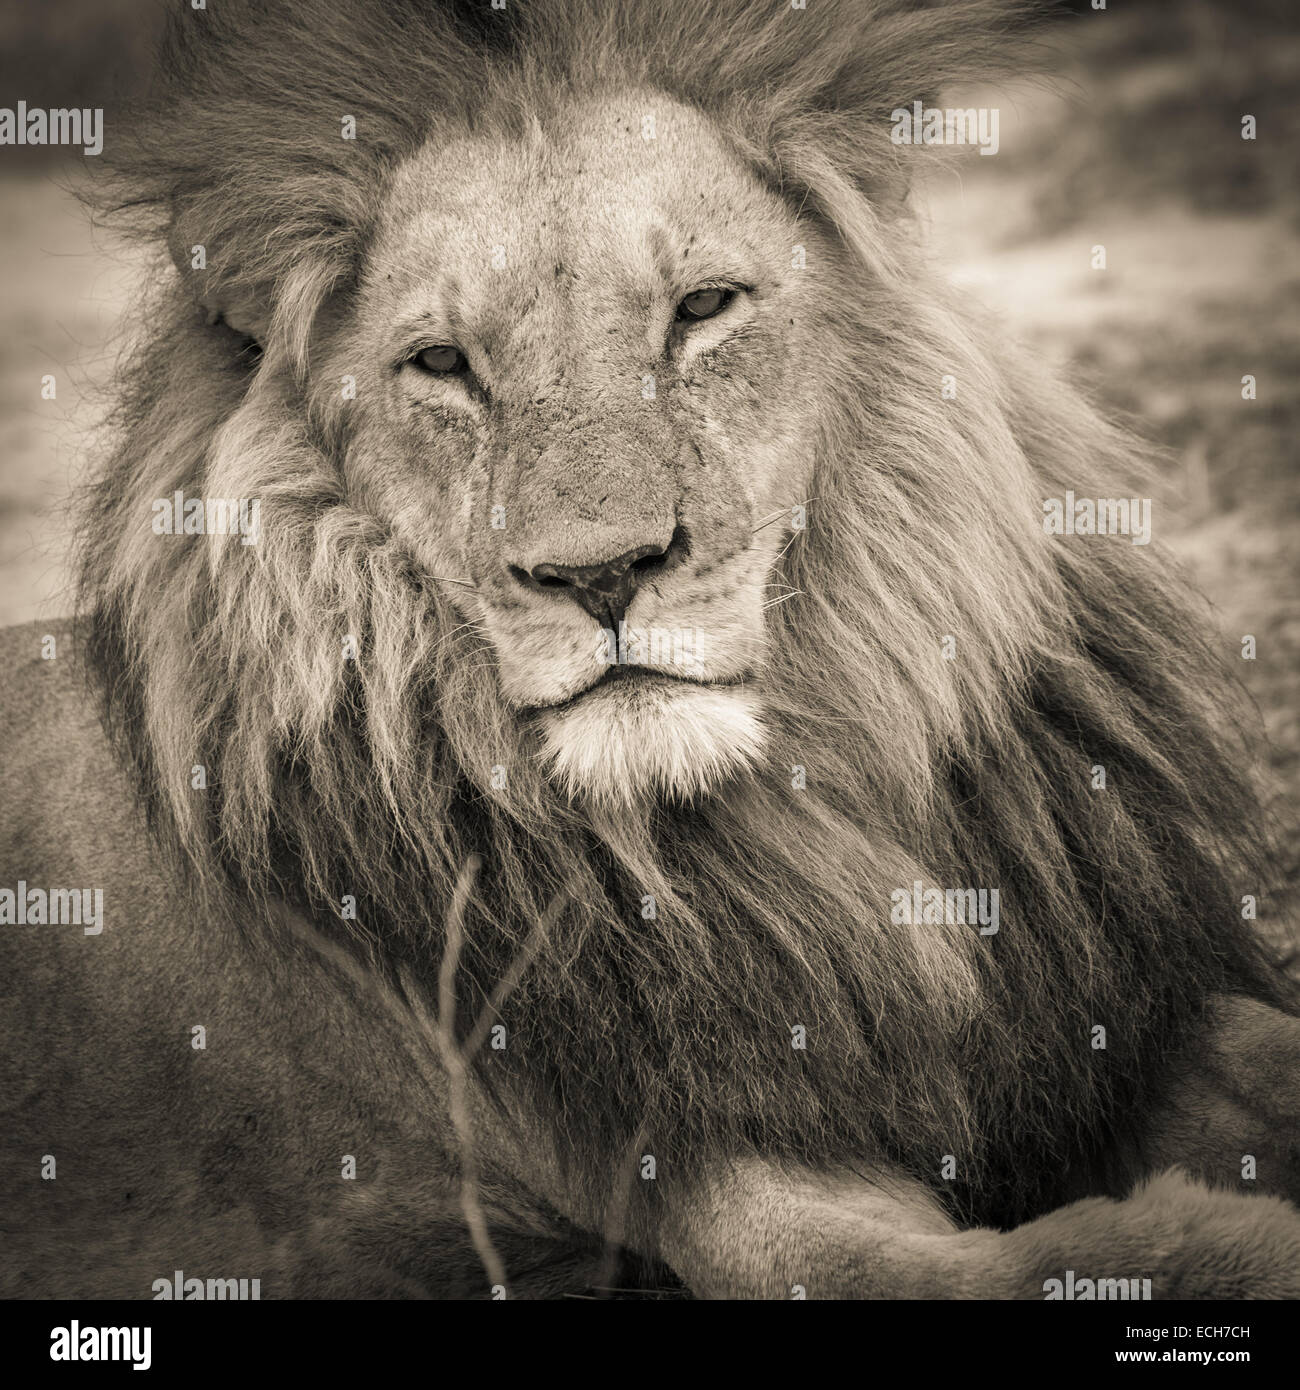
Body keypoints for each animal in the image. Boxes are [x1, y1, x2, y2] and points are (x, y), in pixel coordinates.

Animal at [2, 0, 1300, 1301]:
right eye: (443, 364)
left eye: (702, 307)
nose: (600, 573)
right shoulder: (727, 1177)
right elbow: (1030, 1266)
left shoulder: (1105, 1012)